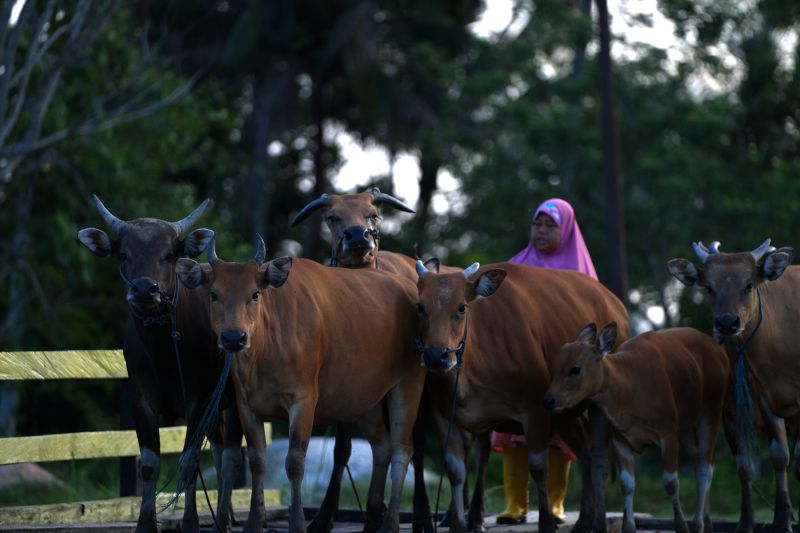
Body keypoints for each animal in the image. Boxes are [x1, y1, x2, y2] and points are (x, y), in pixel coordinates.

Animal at [77, 195, 241, 532]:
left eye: (168, 255)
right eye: (123, 254)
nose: (143, 288)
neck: (163, 350)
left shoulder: (198, 399)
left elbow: (189, 461)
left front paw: (190, 521)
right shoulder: (142, 399)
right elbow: (150, 464)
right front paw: (145, 523)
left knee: (234, 455)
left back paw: (224, 519)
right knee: (220, 451)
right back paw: (225, 515)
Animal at [174, 237, 424, 532]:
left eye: (255, 294)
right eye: (213, 294)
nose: (234, 337)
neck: (265, 352)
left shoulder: (304, 400)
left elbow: (294, 462)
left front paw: (296, 522)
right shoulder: (246, 405)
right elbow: (258, 462)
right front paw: (254, 522)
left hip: (408, 385)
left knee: (402, 451)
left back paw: (391, 523)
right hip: (368, 397)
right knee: (382, 447)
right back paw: (373, 519)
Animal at [416, 260, 628, 532]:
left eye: (462, 307)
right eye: (420, 306)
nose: (436, 356)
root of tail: (614, 303)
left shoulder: (535, 409)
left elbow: (538, 467)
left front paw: (546, 523)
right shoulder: (445, 416)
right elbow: (455, 470)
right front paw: (458, 524)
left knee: (599, 456)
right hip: (565, 412)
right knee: (586, 452)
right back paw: (583, 521)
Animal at [544, 322, 732, 532]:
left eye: (575, 369)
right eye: (554, 366)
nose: (549, 400)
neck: (631, 387)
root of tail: (717, 349)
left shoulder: (668, 433)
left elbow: (671, 482)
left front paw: (681, 526)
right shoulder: (621, 439)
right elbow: (627, 484)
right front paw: (629, 526)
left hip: (712, 412)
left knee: (705, 468)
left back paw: (698, 523)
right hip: (686, 427)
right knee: (697, 462)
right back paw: (706, 523)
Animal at [668, 239, 800, 532]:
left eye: (749, 284)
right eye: (709, 287)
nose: (727, 323)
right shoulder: (756, 401)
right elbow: (766, 460)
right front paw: (765, 521)